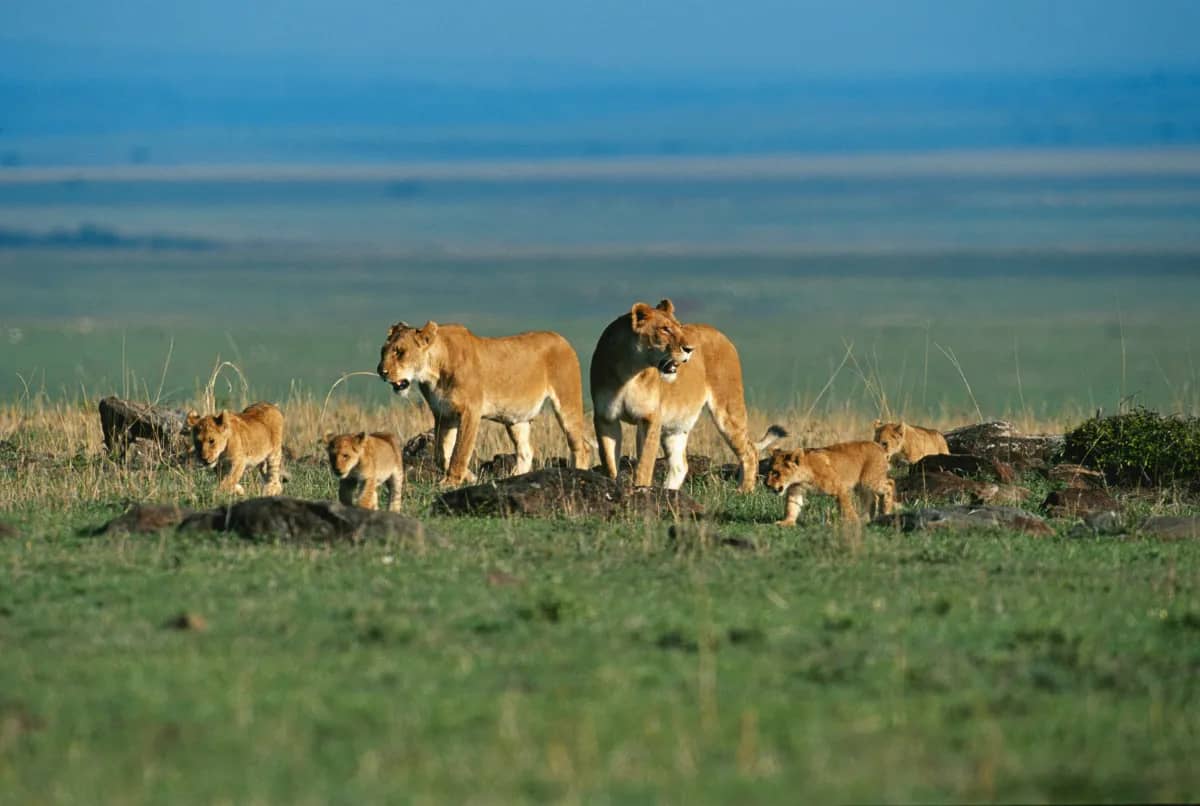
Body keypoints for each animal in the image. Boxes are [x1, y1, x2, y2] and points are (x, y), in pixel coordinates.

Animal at [377, 321, 590, 486]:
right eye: (383, 351)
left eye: (400, 352)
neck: (433, 371)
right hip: (515, 418)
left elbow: (460, 450)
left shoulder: (470, 411)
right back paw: (513, 478)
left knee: (581, 445)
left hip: (567, 403)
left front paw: (451, 482)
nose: (381, 371)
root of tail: (561, 338)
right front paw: (470, 478)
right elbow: (441, 453)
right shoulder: (443, 414)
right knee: (526, 451)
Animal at [590, 299, 786, 492]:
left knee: (750, 451)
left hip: (728, 410)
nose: (690, 349)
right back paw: (669, 492)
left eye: (679, 327)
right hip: (676, 424)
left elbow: (644, 464)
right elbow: (609, 463)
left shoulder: (650, 418)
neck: (630, 372)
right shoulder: (605, 418)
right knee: (680, 465)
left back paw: (743, 491)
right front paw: (614, 485)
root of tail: (720, 334)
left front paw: (641, 489)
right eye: (665, 329)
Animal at [765, 442, 895, 525]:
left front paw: (854, 522)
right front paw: (787, 522)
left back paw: (885, 511)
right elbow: (792, 506)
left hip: (869, 480)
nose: (766, 484)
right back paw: (867, 519)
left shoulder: (839, 487)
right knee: (871, 498)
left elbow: (847, 507)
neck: (801, 478)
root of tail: (879, 446)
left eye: (776, 473)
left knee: (890, 484)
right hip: (861, 486)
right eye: (769, 470)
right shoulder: (796, 490)